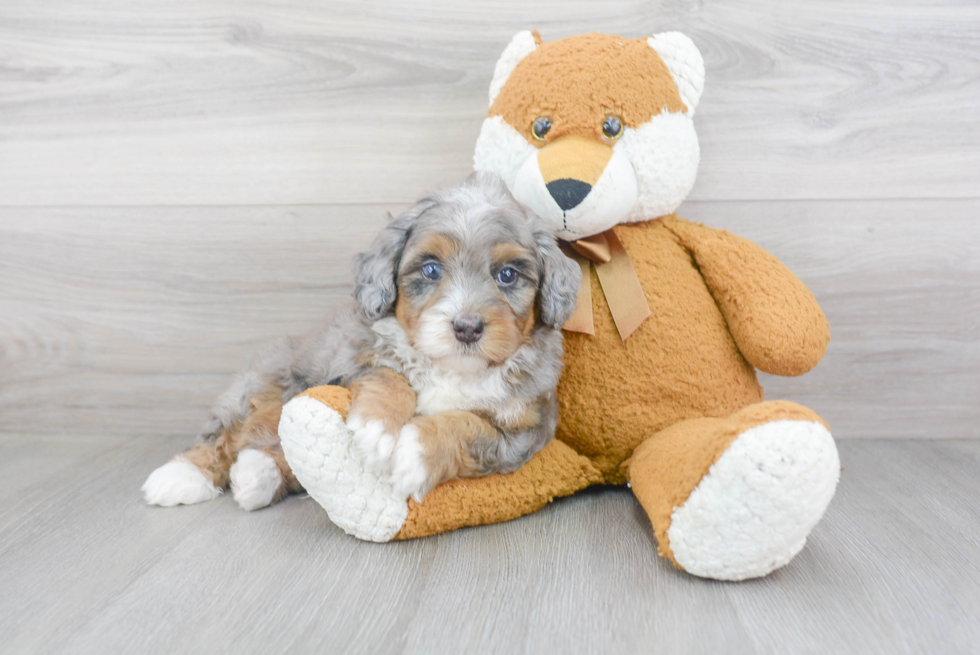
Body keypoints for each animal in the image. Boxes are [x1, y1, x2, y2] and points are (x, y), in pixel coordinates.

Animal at [142, 174, 580, 512]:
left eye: (507, 275)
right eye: (431, 269)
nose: (467, 327)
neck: (450, 368)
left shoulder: (527, 429)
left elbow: (470, 427)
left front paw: (415, 455)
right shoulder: (346, 362)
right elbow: (389, 375)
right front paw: (376, 428)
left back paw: (256, 476)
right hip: (268, 384)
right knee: (229, 434)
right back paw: (181, 476)